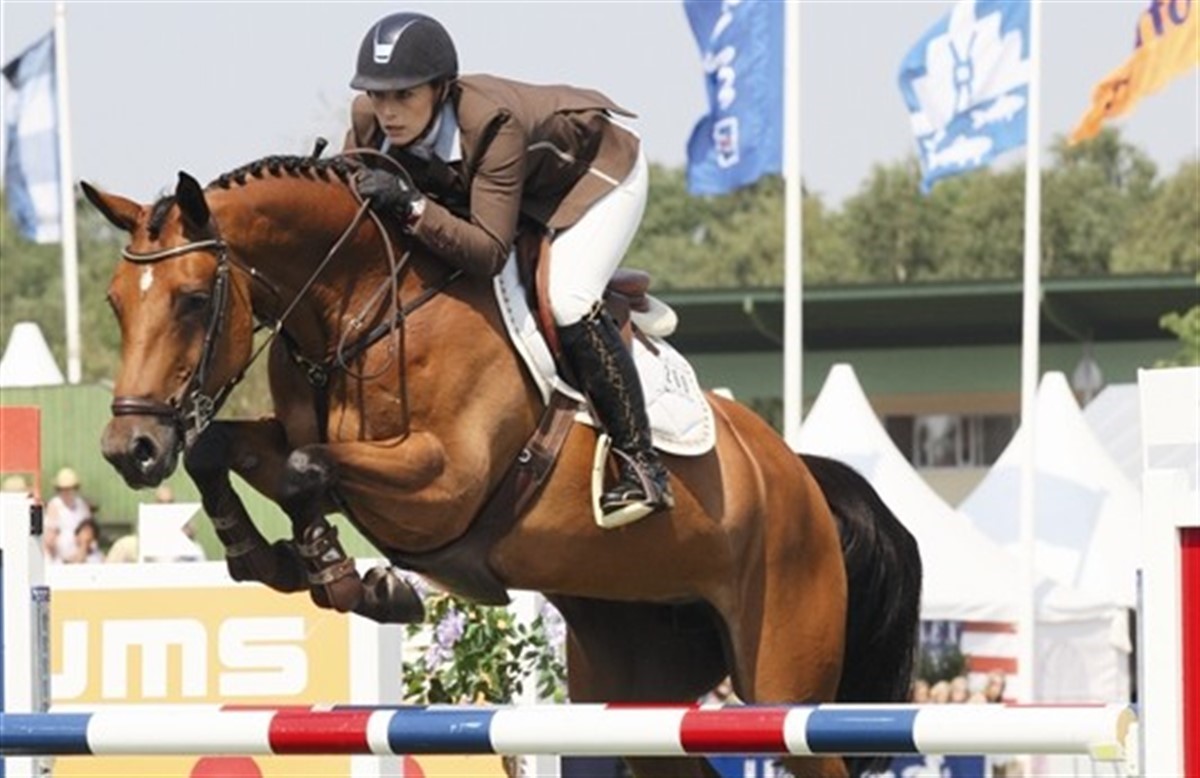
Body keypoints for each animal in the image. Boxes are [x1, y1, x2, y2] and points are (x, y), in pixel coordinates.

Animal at [83, 153, 921, 778]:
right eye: (118, 302)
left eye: (193, 301)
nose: (130, 450)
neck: (361, 308)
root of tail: (804, 478)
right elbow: (225, 449)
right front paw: (265, 557)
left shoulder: (442, 484)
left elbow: (306, 470)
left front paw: (356, 580)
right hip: (637, 689)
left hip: (784, 679)